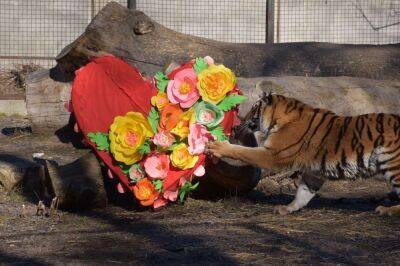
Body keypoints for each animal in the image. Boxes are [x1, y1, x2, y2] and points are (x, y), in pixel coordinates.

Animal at [206, 91, 400, 216]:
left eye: (253, 109)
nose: (241, 122)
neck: (280, 118)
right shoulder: (314, 172)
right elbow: (303, 193)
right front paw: (287, 208)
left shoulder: (273, 154)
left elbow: (243, 152)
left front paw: (218, 147)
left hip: (392, 163)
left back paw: (387, 210)